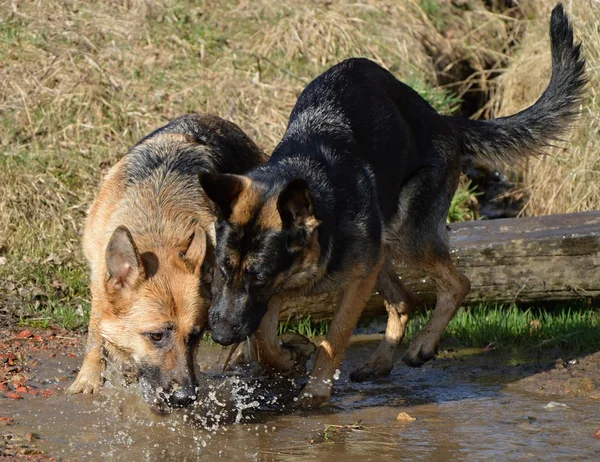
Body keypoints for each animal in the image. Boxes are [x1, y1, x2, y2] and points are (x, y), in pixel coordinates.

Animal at [67, 113, 264, 414]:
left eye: (195, 336)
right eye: (156, 336)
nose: (185, 397)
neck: (158, 225)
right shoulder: (99, 276)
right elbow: (95, 333)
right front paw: (88, 380)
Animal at [199, 4, 584, 408]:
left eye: (258, 275)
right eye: (222, 269)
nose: (220, 336)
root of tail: (442, 121)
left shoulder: (349, 280)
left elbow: (334, 338)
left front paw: (314, 394)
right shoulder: (275, 295)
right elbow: (263, 340)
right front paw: (284, 360)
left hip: (403, 239)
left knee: (458, 284)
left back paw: (422, 346)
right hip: (382, 249)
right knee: (405, 300)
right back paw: (380, 363)